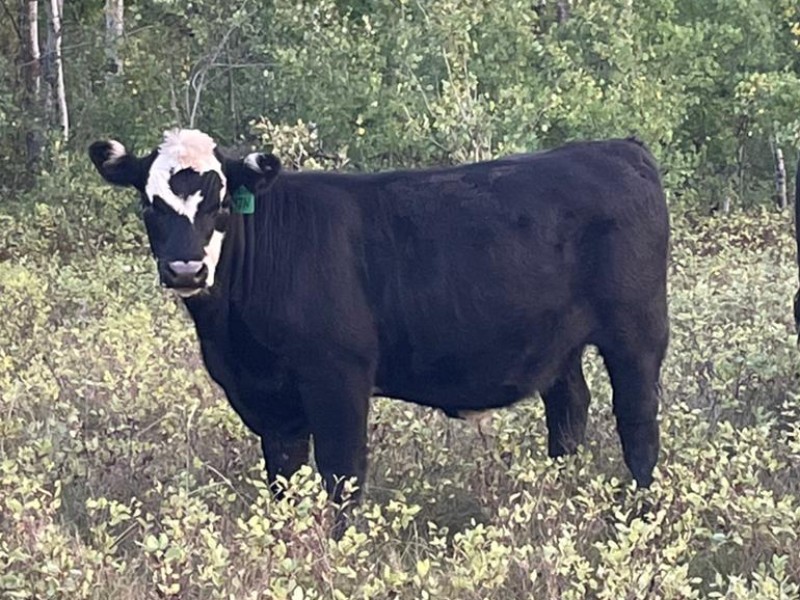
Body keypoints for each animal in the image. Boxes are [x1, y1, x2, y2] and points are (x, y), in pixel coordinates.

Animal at [89, 129, 669, 524]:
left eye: (223, 202)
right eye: (150, 204)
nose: (185, 269)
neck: (234, 340)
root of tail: (618, 148)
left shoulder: (338, 377)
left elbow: (342, 473)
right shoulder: (269, 401)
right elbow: (283, 478)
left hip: (637, 332)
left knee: (637, 421)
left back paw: (641, 514)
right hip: (557, 342)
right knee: (568, 411)